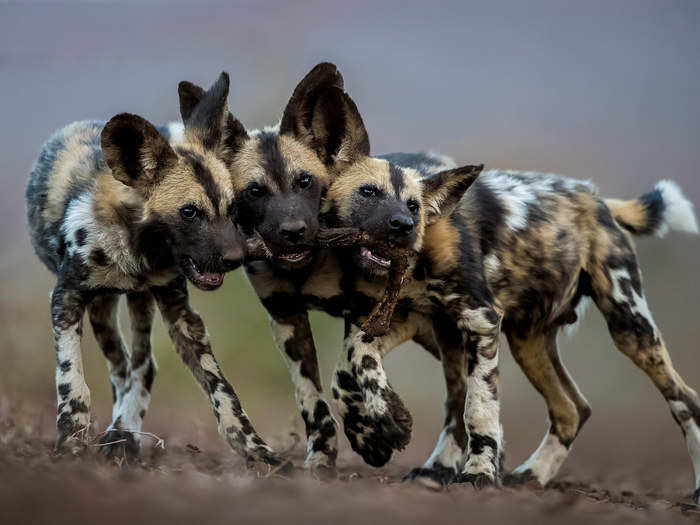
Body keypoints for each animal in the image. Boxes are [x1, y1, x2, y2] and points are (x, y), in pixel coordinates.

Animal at [26, 71, 284, 464]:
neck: (138, 255)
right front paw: (71, 439)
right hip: (103, 308)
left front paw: (257, 450)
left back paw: (124, 433)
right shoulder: (66, 300)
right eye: (189, 212)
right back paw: (118, 432)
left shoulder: (181, 313)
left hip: (135, 303)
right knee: (122, 368)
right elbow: (72, 379)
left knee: (142, 367)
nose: (236, 258)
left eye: (233, 209)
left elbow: (222, 389)